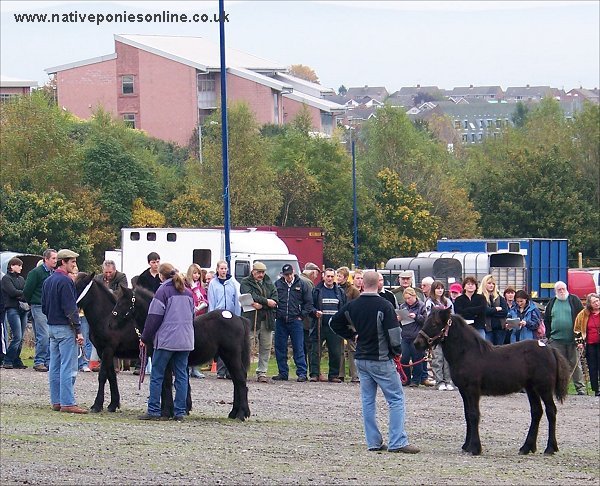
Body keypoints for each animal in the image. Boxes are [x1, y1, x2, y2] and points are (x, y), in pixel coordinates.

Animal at [113, 284, 252, 422]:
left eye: (121, 303)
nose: (111, 322)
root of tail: (238, 318)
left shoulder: (164, 362)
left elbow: (166, 385)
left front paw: (166, 412)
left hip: (231, 356)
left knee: (240, 382)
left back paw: (241, 414)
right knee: (237, 382)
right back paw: (234, 413)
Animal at [414, 308, 568, 456]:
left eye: (435, 324)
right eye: (425, 321)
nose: (417, 343)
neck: (467, 353)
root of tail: (550, 349)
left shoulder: (473, 390)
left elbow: (474, 415)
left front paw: (475, 448)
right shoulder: (464, 391)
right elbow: (467, 415)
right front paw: (466, 446)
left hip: (544, 388)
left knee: (551, 411)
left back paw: (550, 448)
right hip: (531, 389)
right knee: (536, 412)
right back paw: (526, 448)